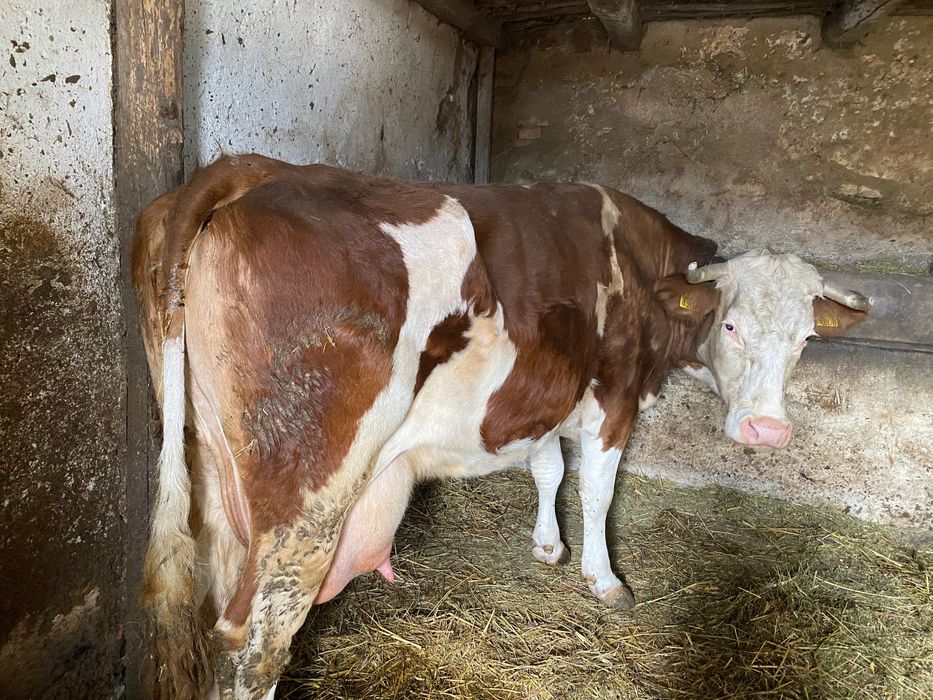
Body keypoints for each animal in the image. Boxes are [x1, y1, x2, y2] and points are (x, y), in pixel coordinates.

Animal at [131, 154, 869, 698]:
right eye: (731, 325)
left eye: (806, 338)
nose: (767, 430)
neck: (636, 261)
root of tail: (248, 170)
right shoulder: (613, 397)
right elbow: (595, 488)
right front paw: (604, 579)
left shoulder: (545, 392)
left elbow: (547, 465)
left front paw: (547, 546)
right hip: (307, 498)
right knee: (257, 641)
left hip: (213, 472)